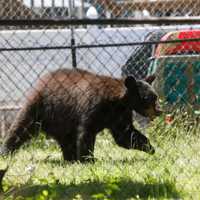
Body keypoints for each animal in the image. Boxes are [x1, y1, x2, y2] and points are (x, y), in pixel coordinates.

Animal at [0, 69, 162, 162]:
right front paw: (88, 159)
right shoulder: (93, 106)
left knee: (66, 139)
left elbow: (125, 135)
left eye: (155, 96)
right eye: (150, 98)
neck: (116, 101)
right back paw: (6, 152)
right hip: (40, 106)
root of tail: (41, 80)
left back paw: (70, 158)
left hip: (61, 119)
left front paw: (150, 148)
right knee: (21, 127)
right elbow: (86, 132)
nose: (160, 110)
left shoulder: (119, 114)